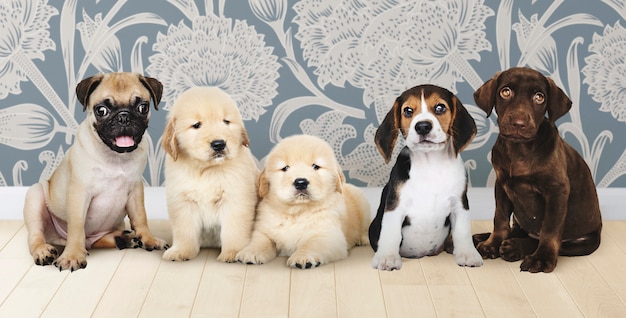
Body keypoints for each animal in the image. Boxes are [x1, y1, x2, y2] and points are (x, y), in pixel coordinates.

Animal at [22, 72, 168, 270]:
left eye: (142, 107)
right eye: (102, 110)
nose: (124, 117)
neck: (115, 156)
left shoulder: (135, 190)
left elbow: (140, 218)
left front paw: (149, 239)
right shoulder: (79, 192)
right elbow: (76, 227)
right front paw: (72, 256)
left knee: (96, 241)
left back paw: (123, 239)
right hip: (35, 195)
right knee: (36, 235)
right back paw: (43, 251)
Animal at [162, 86, 260, 260]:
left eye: (226, 121)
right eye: (196, 125)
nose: (219, 144)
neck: (207, 170)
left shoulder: (236, 199)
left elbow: (234, 229)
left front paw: (233, 252)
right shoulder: (183, 201)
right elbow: (184, 230)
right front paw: (181, 251)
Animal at [236, 134, 368, 268]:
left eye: (316, 166)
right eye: (285, 168)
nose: (300, 182)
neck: (297, 211)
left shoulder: (328, 235)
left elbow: (312, 245)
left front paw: (303, 257)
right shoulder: (264, 230)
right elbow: (260, 241)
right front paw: (250, 253)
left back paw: (363, 238)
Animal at [368, 84, 480, 270]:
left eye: (440, 108)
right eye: (408, 111)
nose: (422, 126)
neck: (430, 163)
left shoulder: (460, 203)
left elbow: (462, 231)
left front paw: (468, 254)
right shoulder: (395, 204)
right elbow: (391, 232)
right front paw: (387, 257)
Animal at [472, 67, 600, 274]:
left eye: (539, 97)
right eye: (505, 92)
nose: (518, 123)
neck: (520, 150)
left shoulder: (557, 191)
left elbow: (550, 229)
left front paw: (542, 258)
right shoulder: (502, 185)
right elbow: (500, 218)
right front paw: (492, 244)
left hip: (583, 242)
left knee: (552, 241)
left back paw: (515, 247)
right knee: (516, 229)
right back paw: (484, 237)